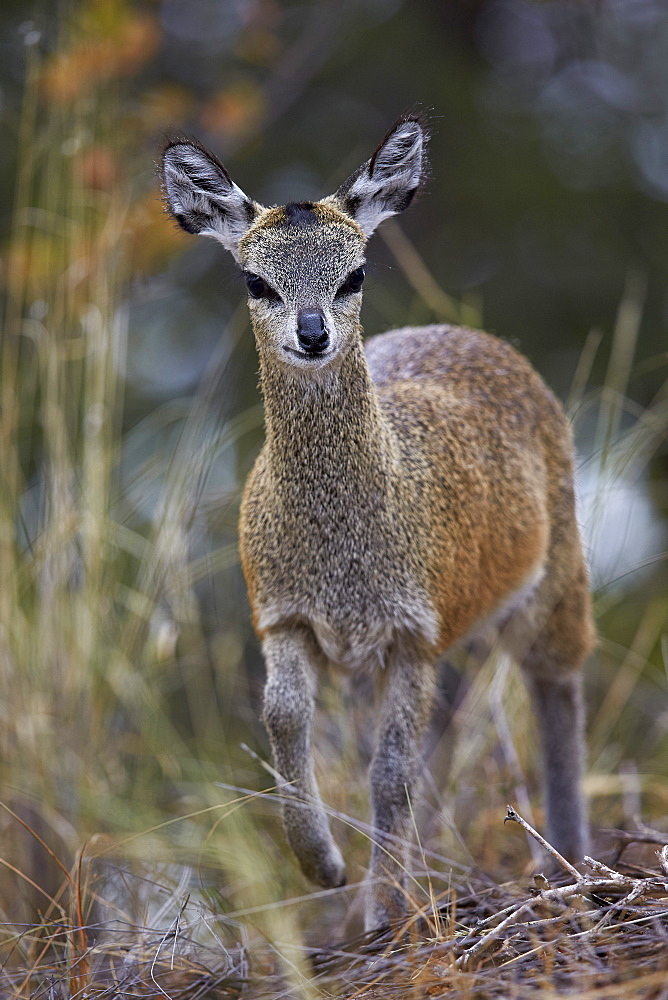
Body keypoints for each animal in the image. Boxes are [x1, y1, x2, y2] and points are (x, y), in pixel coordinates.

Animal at [160, 117, 596, 928]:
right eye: (255, 279)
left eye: (355, 273)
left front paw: (383, 912)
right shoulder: (285, 617)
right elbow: (285, 723)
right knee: (449, 731)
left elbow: (391, 773)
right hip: (438, 649)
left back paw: (572, 862)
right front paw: (327, 867)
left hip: (554, 581)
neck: (342, 550)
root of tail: (479, 337)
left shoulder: (411, 633)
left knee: (557, 683)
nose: (313, 333)